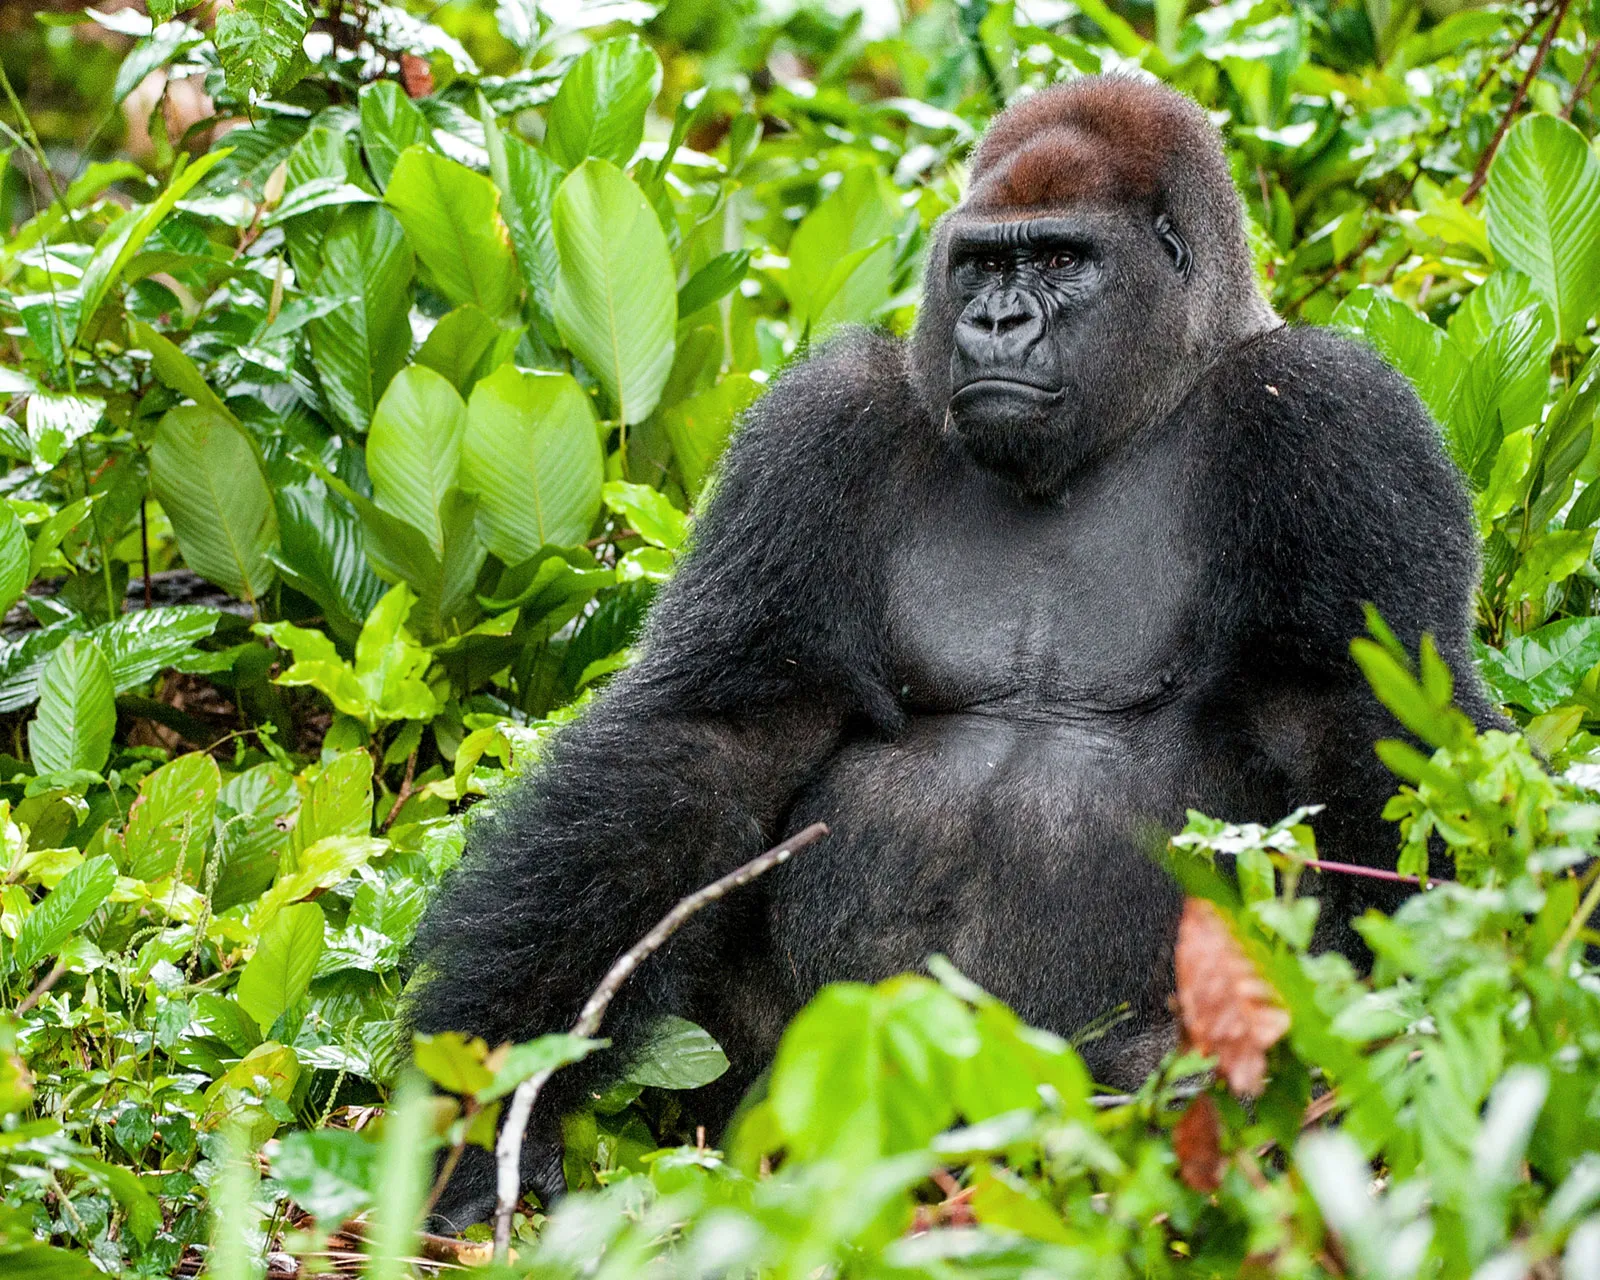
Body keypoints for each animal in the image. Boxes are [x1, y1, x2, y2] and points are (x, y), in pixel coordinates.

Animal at [406, 73, 1501, 1226]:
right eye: (979, 264)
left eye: (1060, 261)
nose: (995, 321)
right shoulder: (822, 421)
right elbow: (719, 738)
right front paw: (487, 1099)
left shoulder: (1337, 416)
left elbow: (1366, 730)